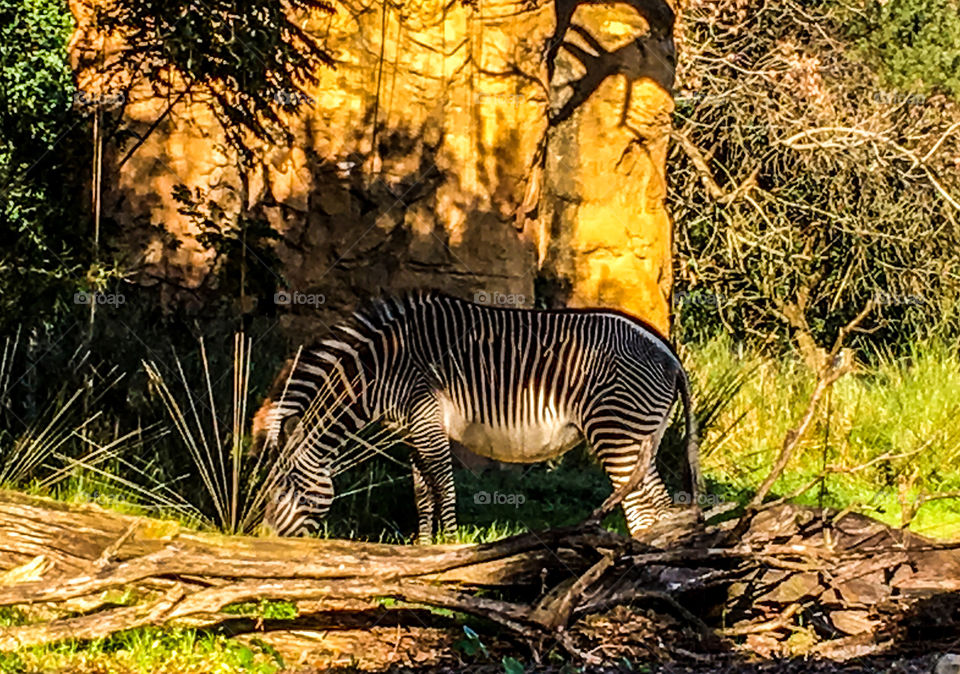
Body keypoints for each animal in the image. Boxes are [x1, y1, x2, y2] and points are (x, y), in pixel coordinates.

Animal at [255, 291, 700, 542]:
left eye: (281, 490)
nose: (260, 539)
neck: (382, 367)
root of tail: (667, 349)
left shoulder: (427, 419)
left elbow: (445, 487)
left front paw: (449, 548)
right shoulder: (411, 432)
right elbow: (423, 494)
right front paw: (423, 547)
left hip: (618, 432)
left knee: (649, 508)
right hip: (642, 435)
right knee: (656, 507)